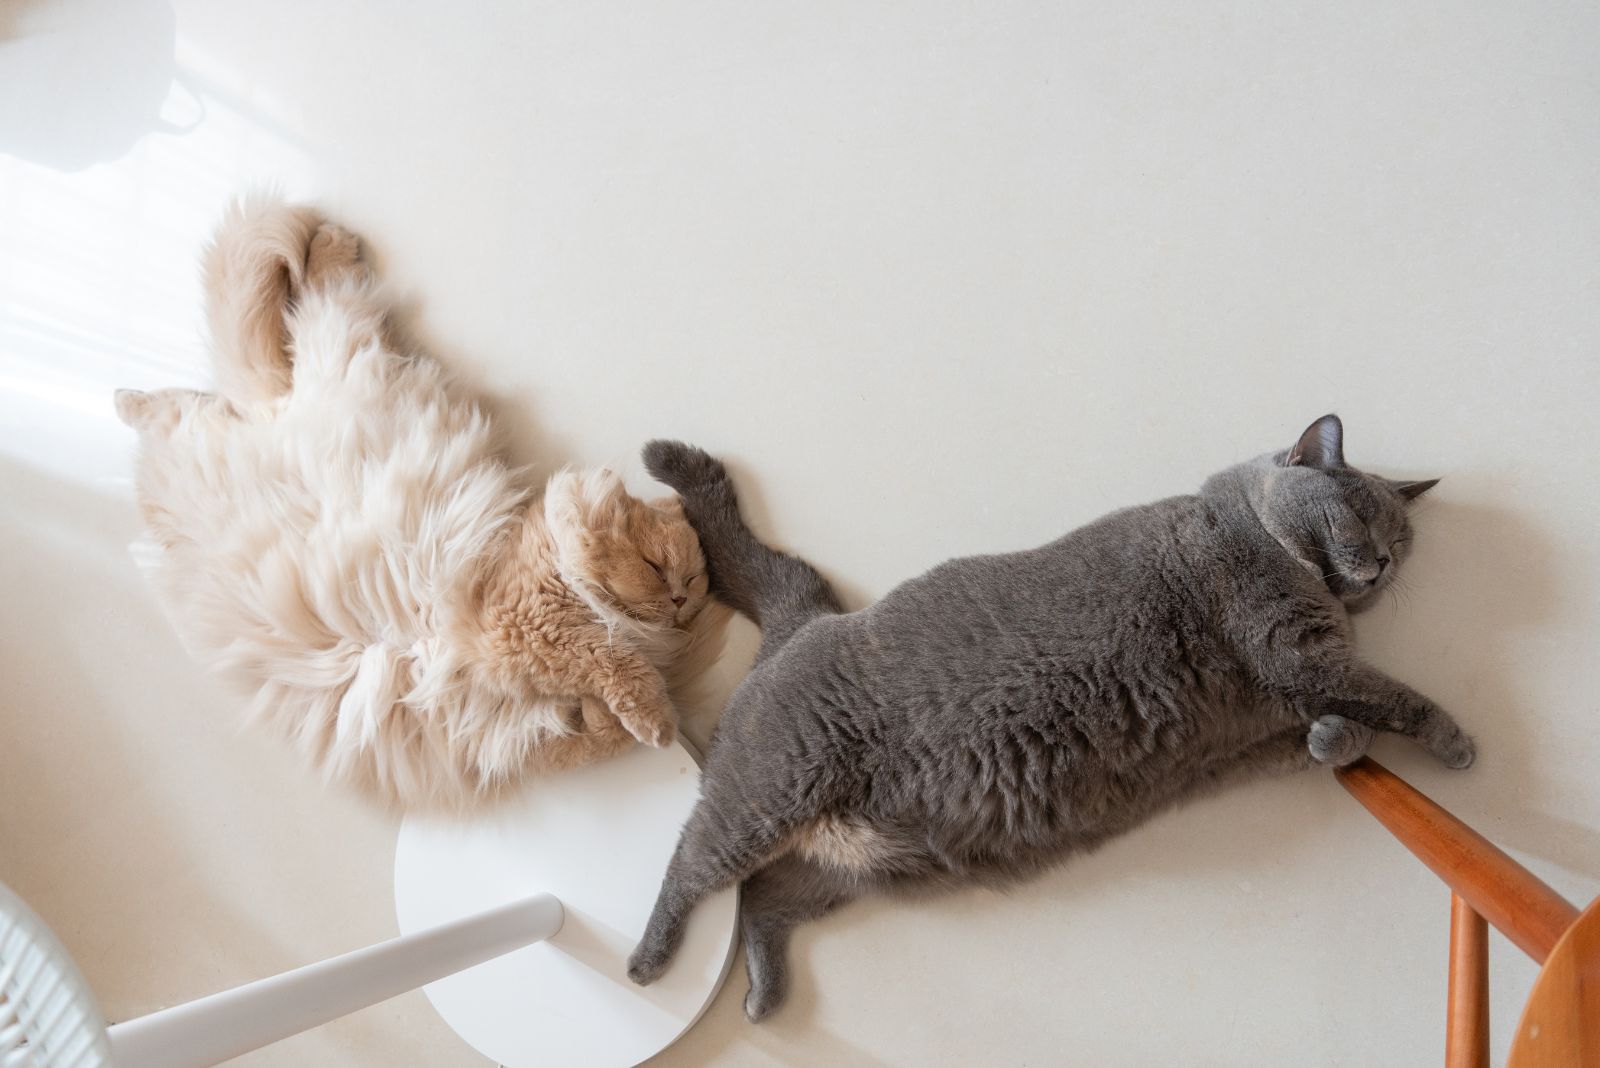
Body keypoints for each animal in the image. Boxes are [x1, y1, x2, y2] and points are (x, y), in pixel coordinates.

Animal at [106, 198, 720, 808]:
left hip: (262, 402)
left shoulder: (527, 729)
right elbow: (609, 663)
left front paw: (628, 721)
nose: (679, 599)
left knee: (211, 386)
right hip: (323, 357)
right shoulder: (520, 624)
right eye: (655, 567)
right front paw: (655, 718)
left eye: (693, 580)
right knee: (284, 320)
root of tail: (269, 408)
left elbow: (598, 729)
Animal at [627, 415, 1472, 1016]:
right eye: (1354, 520)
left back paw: (762, 996)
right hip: (768, 795)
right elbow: (1394, 693)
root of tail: (805, 622)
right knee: (690, 862)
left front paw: (1338, 738)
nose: (1383, 564)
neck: (1260, 534)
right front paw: (1459, 743)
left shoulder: (1259, 731)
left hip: (851, 869)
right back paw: (648, 961)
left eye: (1401, 537)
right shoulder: (1290, 653)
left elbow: (1341, 727)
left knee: (764, 902)